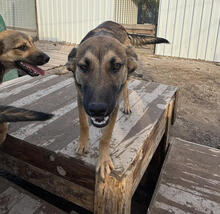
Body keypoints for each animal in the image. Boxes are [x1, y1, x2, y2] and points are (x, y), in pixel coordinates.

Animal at [67, 21, 168, 179]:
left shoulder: (113, 107)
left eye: (116, 66)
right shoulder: (80, 97)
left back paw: (126, 106)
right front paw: (83, 143)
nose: (97, 110)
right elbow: (83, 123)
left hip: (126, 80)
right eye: (83, 67)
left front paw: (103, 160)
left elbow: (106, 137)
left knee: (126, 90)